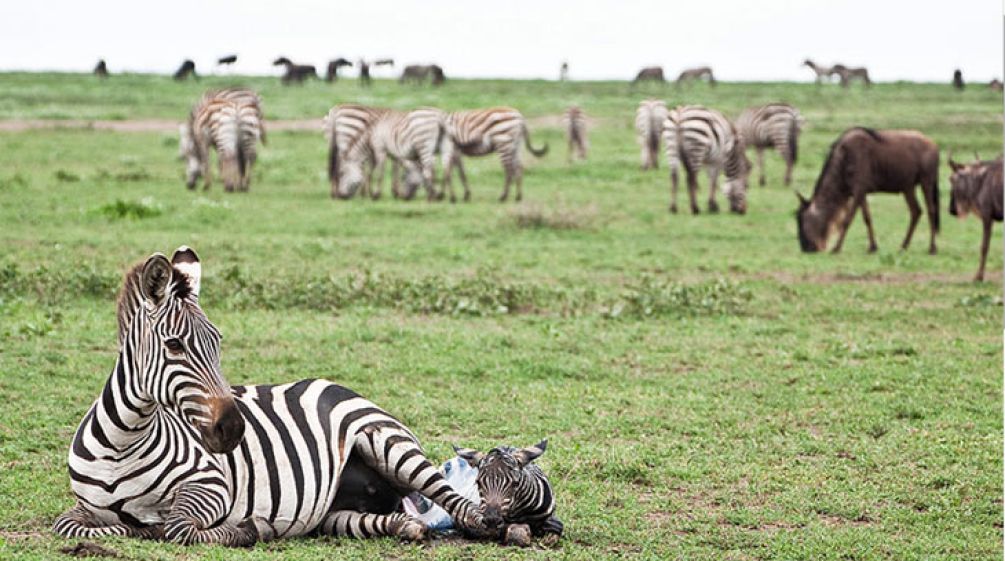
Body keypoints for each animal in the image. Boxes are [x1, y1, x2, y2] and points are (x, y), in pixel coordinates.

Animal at [54, 248, 486, 546]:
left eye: (218, 341)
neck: (121, 445)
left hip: (390, 446)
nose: (233, 428)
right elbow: (72, 526)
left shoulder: (210, 484)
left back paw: (495, 523)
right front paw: (134, 527)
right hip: (336, 513)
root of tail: (337, 385)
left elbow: (178, 527)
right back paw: (406, 526)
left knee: (462, 506)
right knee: (385, 521)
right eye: (174, 345)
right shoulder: (83, 508)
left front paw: (248, 529)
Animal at [791, 128, 940, 254]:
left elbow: (847, 220)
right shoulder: (860, 193)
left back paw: (932, 248)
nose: (805, 248)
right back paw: (903, 246)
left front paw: (836, 248)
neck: (843, 159)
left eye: (801, 219)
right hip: (907, 187)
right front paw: (873, 247)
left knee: (931, 211)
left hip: (926, 182)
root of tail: (934, 146)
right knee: (916, 211)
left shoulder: (858, 190)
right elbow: (867, 218)